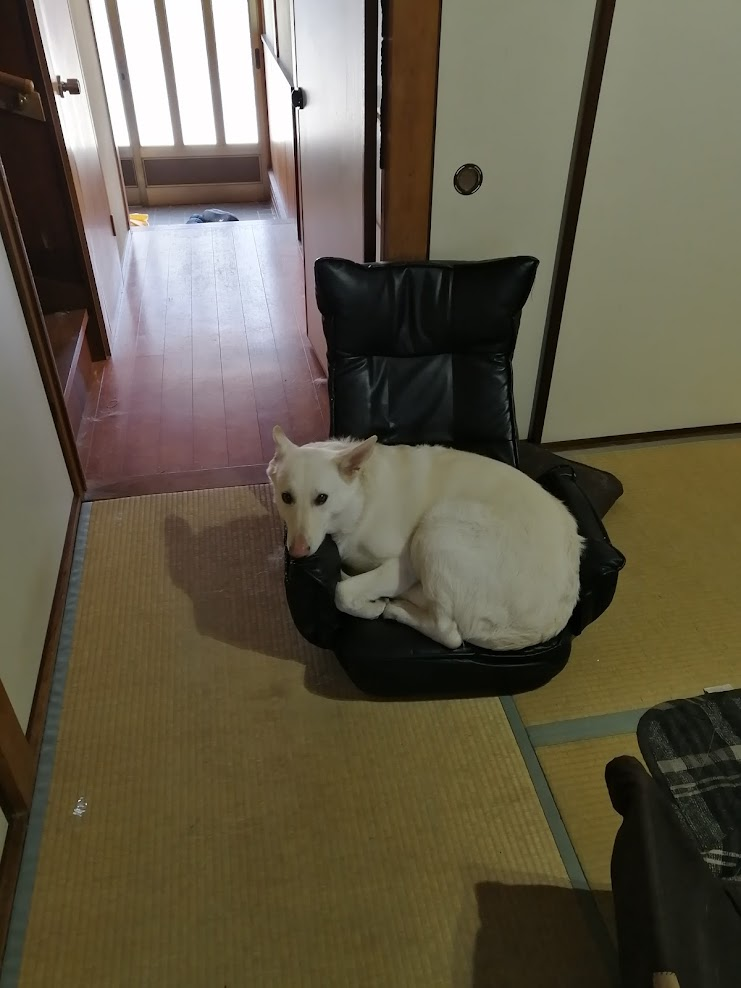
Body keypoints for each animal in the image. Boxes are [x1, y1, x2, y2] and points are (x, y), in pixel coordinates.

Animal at [267, 426, 583, 651]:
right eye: (286, 497)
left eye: (321, 498)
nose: (297, 553)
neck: (361, 503)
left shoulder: (402, 565)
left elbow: (341, 594)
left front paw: (372, 607)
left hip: (437, 529)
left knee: (449, 634)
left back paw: (397, 609)